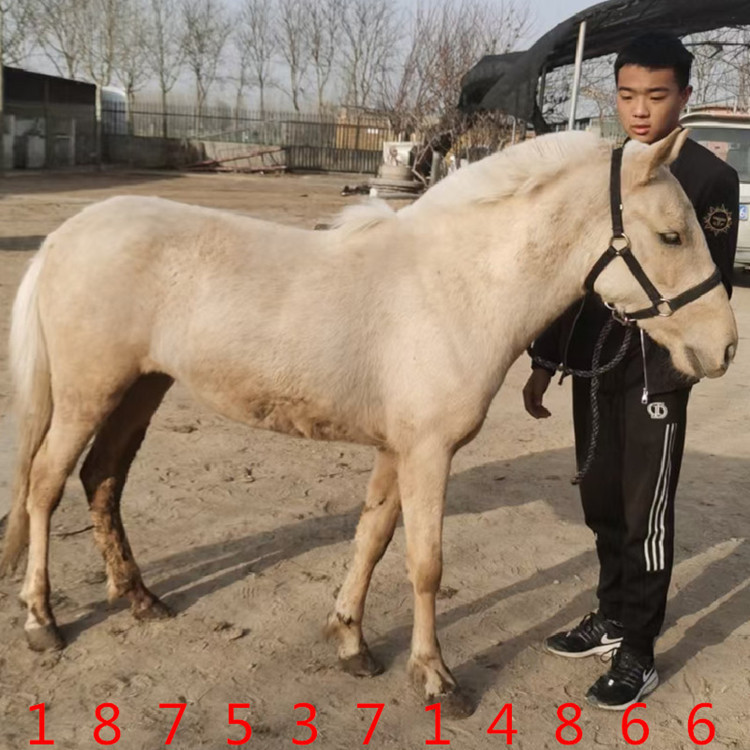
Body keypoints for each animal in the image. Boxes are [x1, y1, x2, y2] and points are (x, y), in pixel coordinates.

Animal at [0, 128, 737, 718]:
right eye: (671, 235)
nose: (724, 348)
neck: (454, 286)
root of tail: (67, 234)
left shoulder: (397, 451)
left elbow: (373, 538)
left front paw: (351, 640)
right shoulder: (429, 454)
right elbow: (425, 564)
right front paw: (435, 678)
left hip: (140, 389)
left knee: (101, 480)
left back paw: (140, 599)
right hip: (88, 394)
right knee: (45, 485)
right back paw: (42, 621)